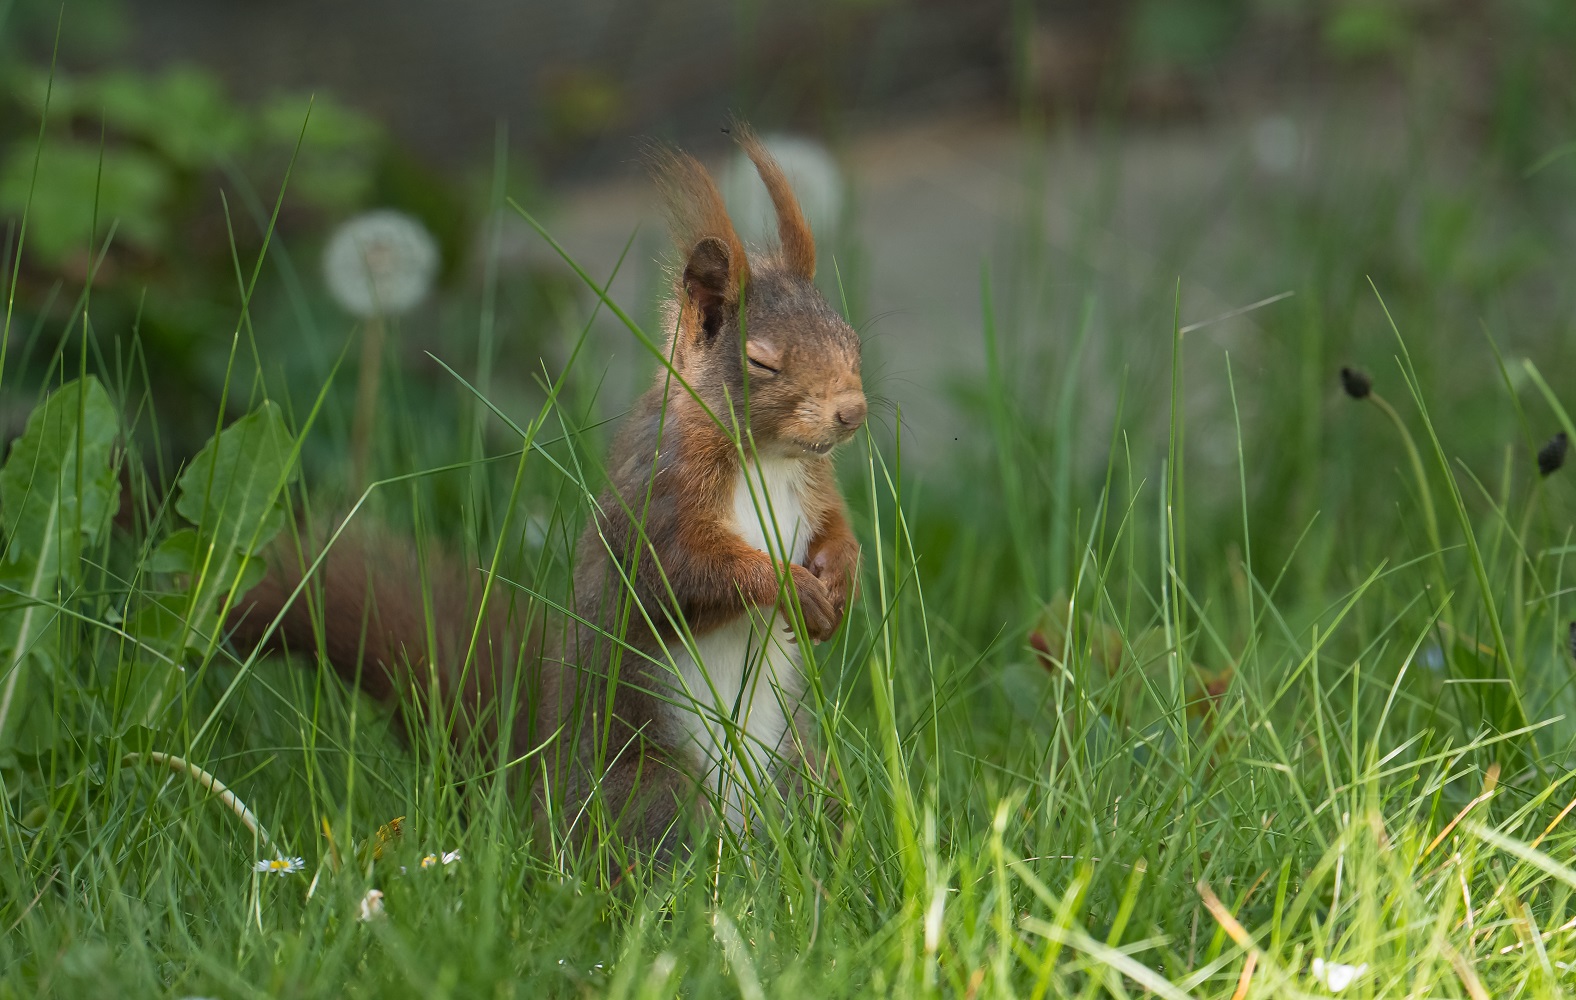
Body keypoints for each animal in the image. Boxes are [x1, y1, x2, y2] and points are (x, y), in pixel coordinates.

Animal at [236, 125, 863, 856]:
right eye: (762, 361)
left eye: (851, 338)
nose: (853, 411)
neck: (768, 459)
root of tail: (537, 811)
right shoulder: (660, 498)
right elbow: (682, 573)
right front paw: (789, 586)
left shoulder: (814, 488)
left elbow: (836, 530)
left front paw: (840, 576)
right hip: (654, 788)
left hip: (798, 769)